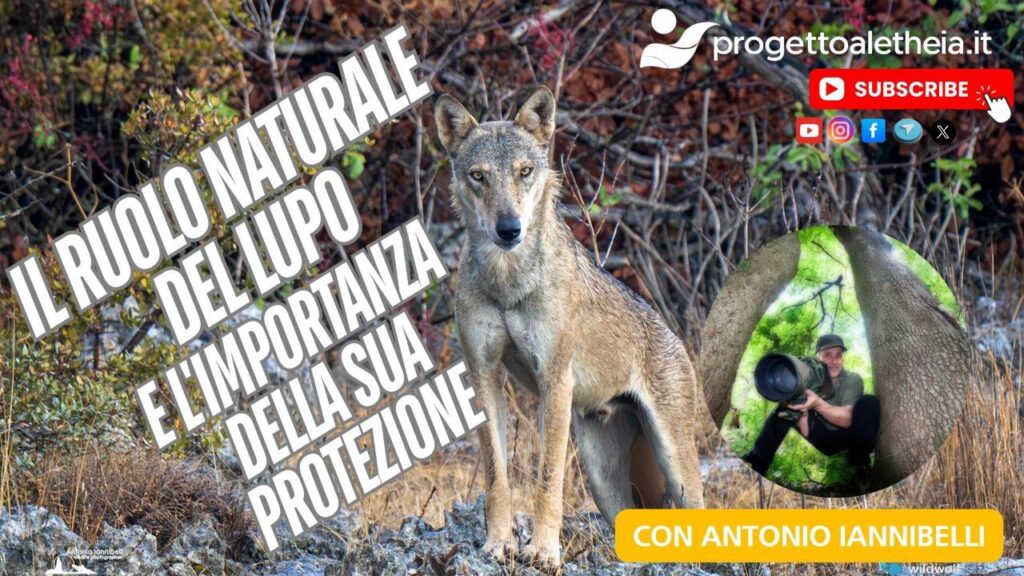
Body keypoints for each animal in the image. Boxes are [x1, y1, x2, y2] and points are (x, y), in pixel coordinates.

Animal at [435, 86, 705, 568]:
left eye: (524, 172)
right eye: (479, 176)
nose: (509, 229)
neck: (508, 284)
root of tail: (672, 334)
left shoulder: (554, 380)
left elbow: (547, 483)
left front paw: (543, 551)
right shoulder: (484, 374)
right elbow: (497, 479)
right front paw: (498, 544)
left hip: (677, 468)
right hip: (605, 484)